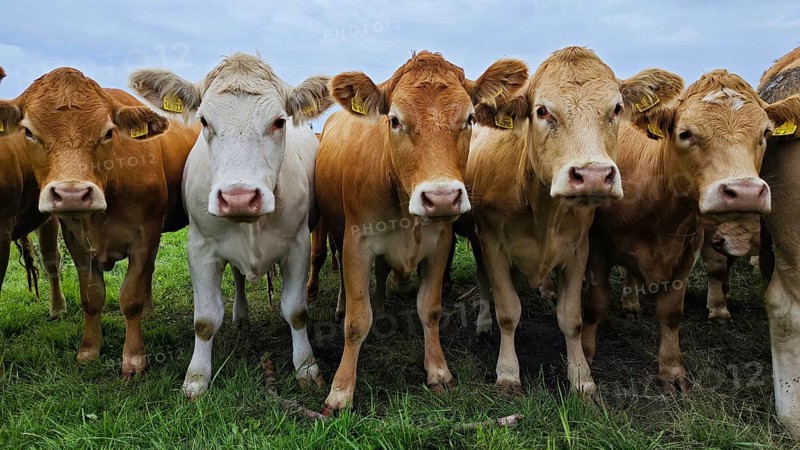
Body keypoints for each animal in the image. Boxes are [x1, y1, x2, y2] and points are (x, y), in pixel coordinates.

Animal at [130, 53, 333, 398]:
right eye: (204, 121)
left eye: (279, 121)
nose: (239, 198)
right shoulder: (199, 249)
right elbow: (205, 319)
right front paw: (196, 378)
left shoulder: (298, 247)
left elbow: (296, 311)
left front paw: (307, 367)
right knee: (238, 278)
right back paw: (241, 315)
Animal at [315, 51, 529, 413]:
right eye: (395, 120)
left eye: (470, 118)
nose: (441, 197)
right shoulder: (356, 243)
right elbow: (356, 322)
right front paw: (341, 390)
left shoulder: (440, 243)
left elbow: (430, 309)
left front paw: (438, 371)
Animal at [464, 47, 684, 397]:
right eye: (542, 111)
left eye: (616, 108)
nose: (593, 176)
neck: (543, 212)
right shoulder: (492, 245)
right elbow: (508, 311)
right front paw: (508, 374)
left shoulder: (578, 249)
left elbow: (572, 319)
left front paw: (581, 378)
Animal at [582, 69, 800, 394]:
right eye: (686, 134)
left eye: (765, 134)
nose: (745, 192)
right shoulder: (596, 247)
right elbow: (595, 305)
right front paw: (585, 356)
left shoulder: (687, 251)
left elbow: (672, 312)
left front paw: (672, 371)